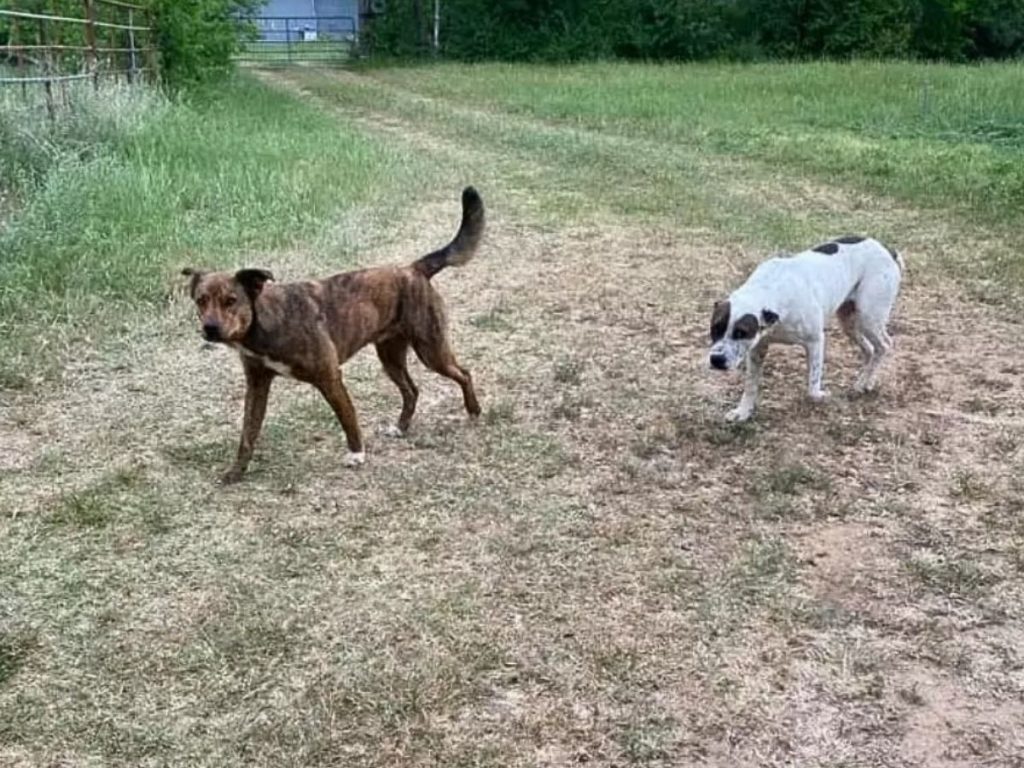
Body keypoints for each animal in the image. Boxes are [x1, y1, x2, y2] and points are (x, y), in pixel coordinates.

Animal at [183, 187, 483, 483]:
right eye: (201, 301)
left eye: (231, 301)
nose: (210, 328)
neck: (265, 321)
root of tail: (414, 268)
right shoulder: (257, 384)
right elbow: (248, 434)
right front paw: (236, 471)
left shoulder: (329, 378)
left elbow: (347, 417)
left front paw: (357, 454)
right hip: (391, 357)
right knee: (411, 390)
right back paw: (401, 427)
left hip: (431, 351)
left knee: (464, 373)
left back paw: (474, 411)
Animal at [712, 237, 905, 423]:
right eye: (715, 328)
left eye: (741, 333)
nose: (716, 360)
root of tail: (887, 250)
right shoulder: (757, 349)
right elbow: (750, 386)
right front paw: (743, 412)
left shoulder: (815, 342)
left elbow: (813, 386)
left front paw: (820, 396)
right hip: (849, 323)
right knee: (870, 349)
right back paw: (862, 381)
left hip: (868, 317)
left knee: (883, 345)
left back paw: (868, 381)